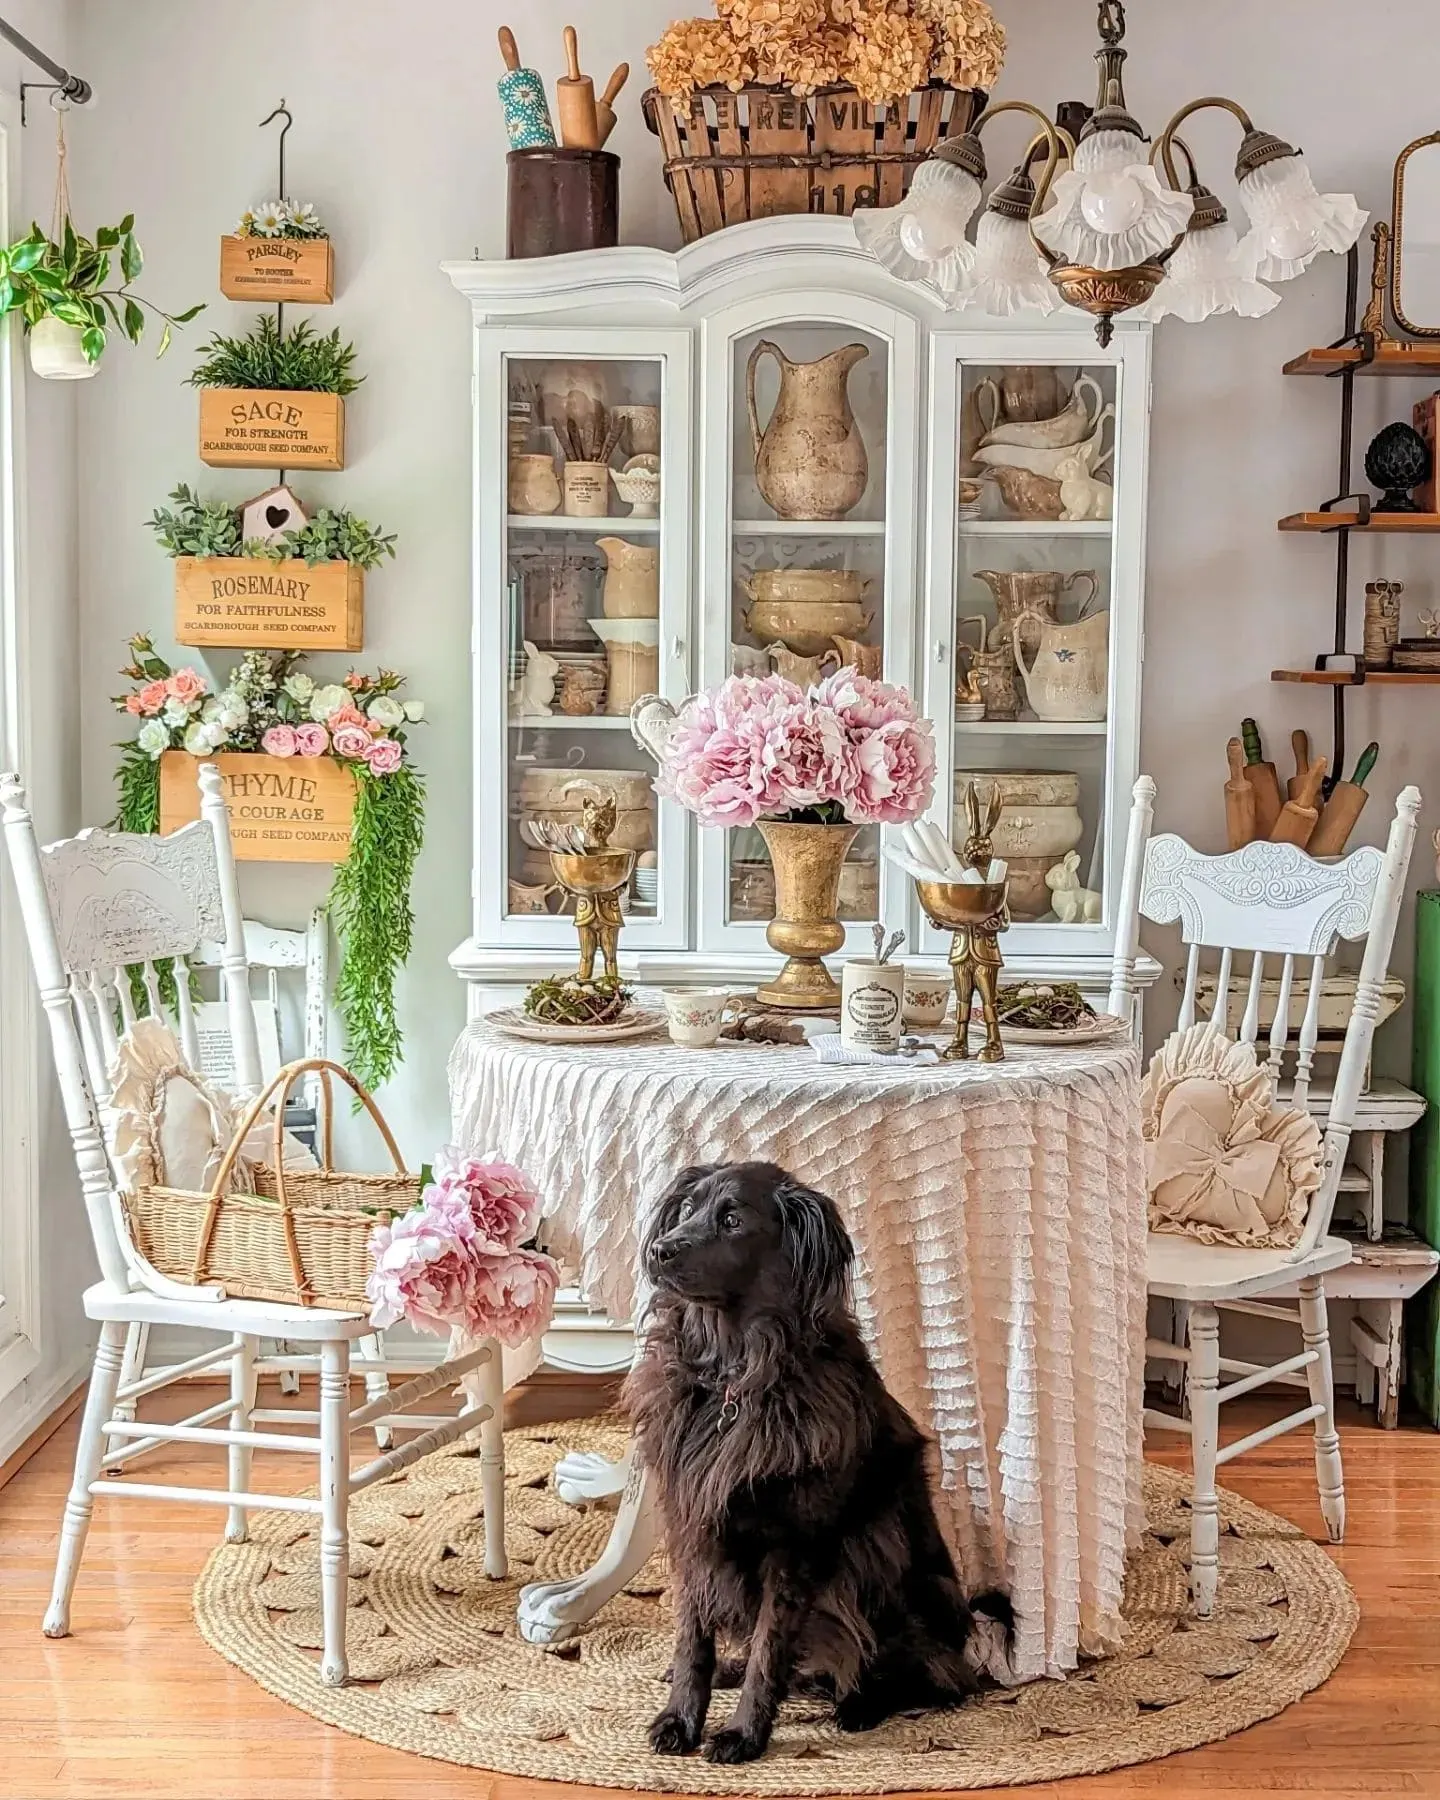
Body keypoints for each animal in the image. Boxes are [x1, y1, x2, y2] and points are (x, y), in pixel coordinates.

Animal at [622, 1159, 1015, 1764]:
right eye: (688, 1209)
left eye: (733, 1219)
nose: (661, 1250)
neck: (735, 1379)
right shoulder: (692, 1527)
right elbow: (693, 1639)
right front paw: (680, 1718)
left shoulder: (796, 1545)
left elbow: (769, 1648)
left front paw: (742, 1733)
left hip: (879, 1564)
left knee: (936, 1677)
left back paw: (860, 1705)